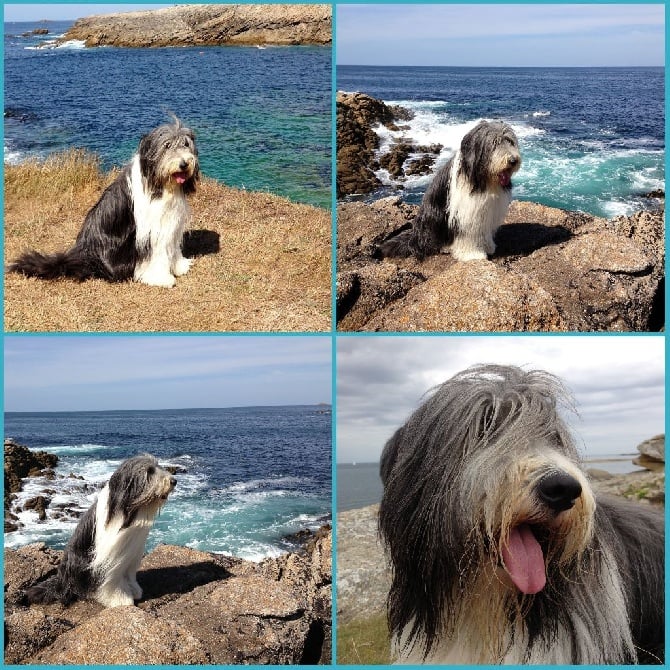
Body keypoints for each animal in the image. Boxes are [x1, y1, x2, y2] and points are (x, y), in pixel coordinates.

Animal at [8, 116, 200, 288]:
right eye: (167, 145)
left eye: (186, 144)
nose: (184, 163)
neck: (160, 184)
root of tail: (79, 255)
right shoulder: (151, 230)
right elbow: (156, 254)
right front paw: (160, 278)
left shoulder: (170, 222)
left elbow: (172, 246)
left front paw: (180, 266)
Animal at [25, 456, 177, 608]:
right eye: (149, 471)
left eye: (158, 466)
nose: (174, 481)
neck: (130, 511)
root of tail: (61, 581)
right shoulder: (109, 556)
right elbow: (112, 579)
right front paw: (120, 598)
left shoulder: (133, 553)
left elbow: (129, 575)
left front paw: (134, 590)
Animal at [380, 119, 524, 262]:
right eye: (494, 143)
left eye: (510, 142)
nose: (513, 160)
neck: (485, 180)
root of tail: (414, 236)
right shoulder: (465, 213)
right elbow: (467, 235)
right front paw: (473, 254)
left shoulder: (488, 211)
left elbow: (485, 231)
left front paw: (488, 246)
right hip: (434, 218)